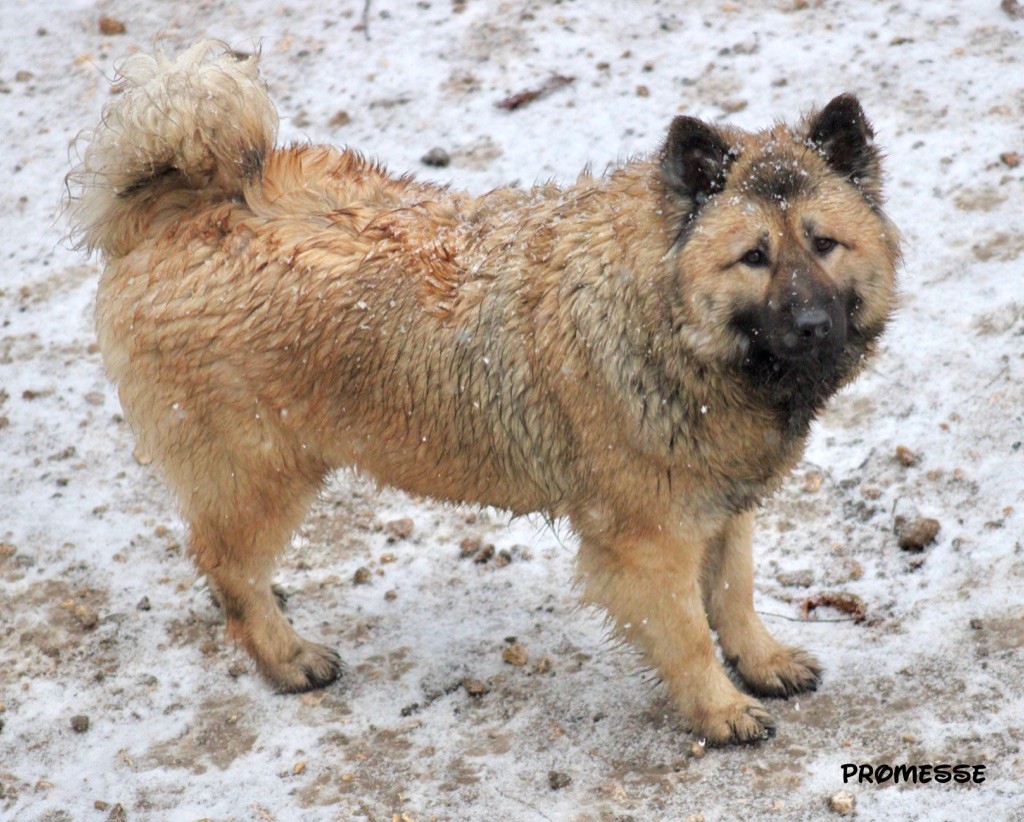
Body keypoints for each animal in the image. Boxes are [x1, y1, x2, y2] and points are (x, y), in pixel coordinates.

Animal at [66, 40, 897, 745]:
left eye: (824, 243)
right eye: (753, 256)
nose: (815, 325)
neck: (657, 317)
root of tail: (185, 206)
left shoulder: (720, 502)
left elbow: (733, 594)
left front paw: (762, 661)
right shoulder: (648, 538)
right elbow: (689, 630)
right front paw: (719, 710)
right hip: (260, 473)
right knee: (228, 569)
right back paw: (287, 656)